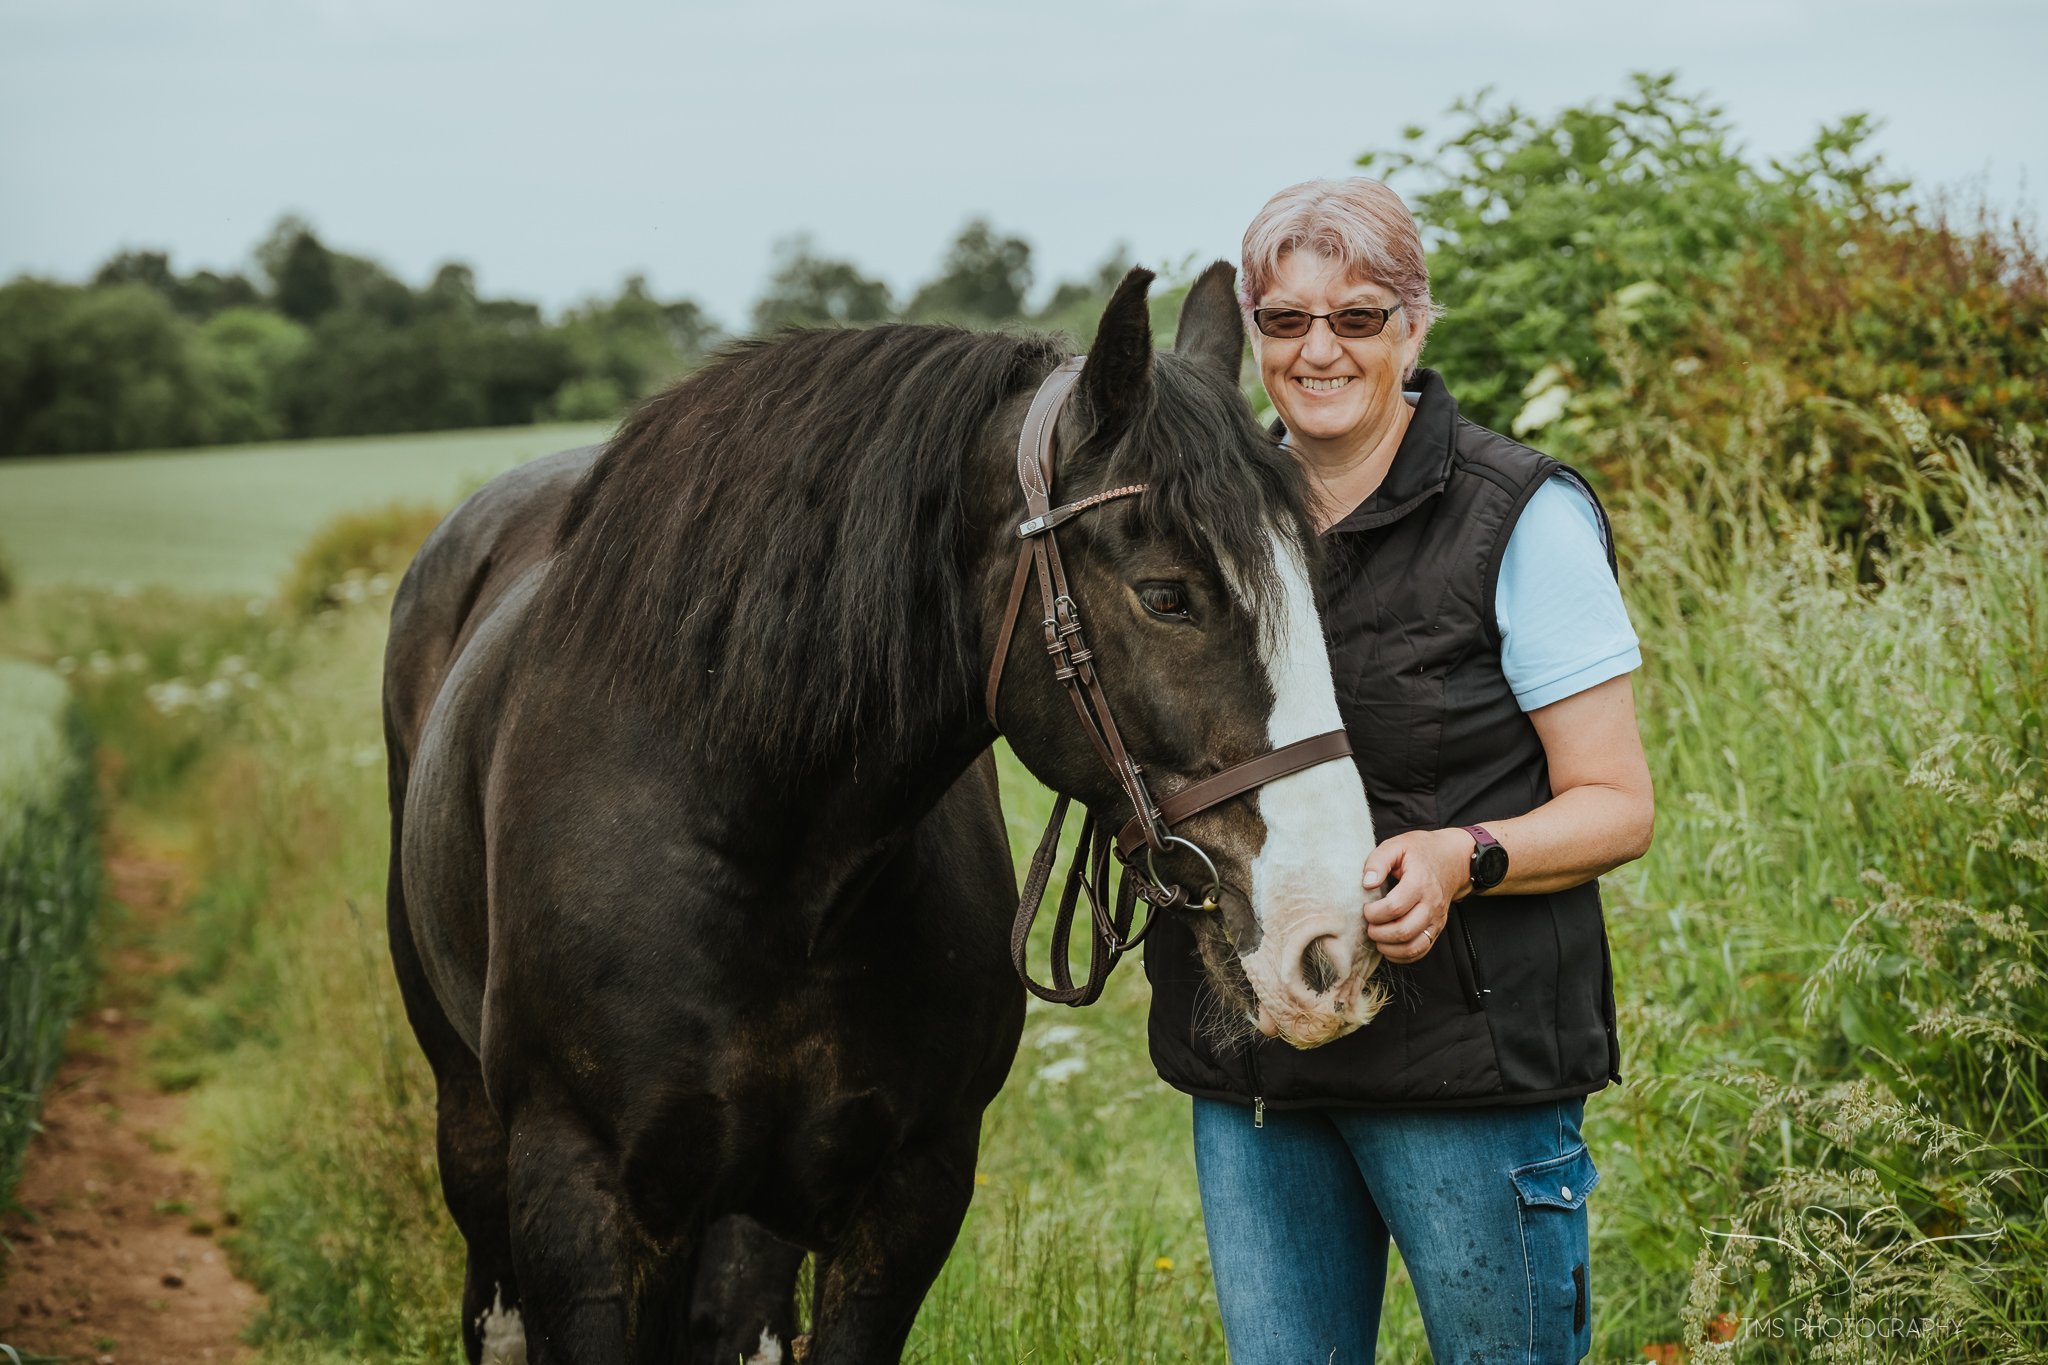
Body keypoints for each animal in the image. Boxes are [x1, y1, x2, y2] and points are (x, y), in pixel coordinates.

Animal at [381, 262, 1381, 1364]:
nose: (1336, 942)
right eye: (1166, 595)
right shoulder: (582, 1204)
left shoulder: (905, 1199)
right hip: (474, 1131)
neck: (767, 858)